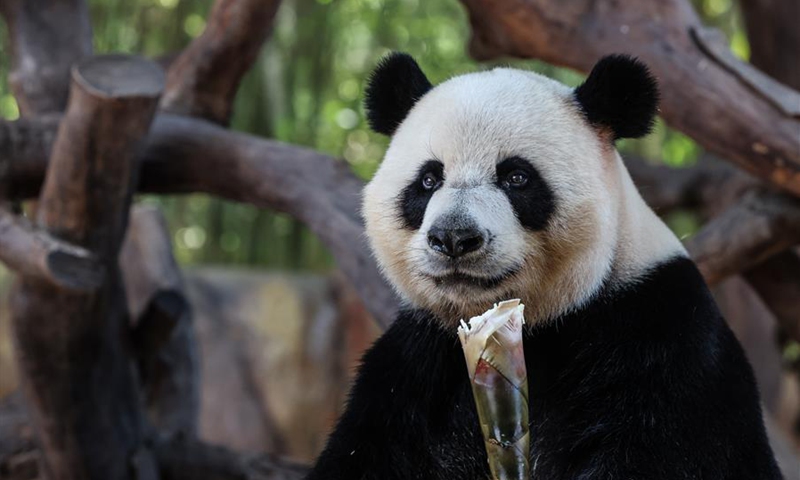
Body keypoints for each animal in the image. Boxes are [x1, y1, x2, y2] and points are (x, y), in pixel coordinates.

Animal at [306, 52, 780, 480]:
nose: (454, 238)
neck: (541, 323)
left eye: (516, 177)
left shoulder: (660, 336)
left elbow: (657, 453)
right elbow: (367, 451)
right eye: (428, 180)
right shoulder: (416, 366)